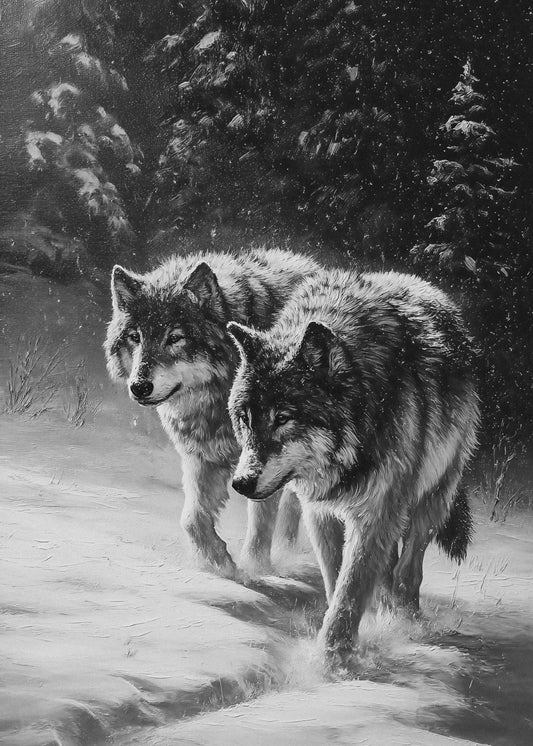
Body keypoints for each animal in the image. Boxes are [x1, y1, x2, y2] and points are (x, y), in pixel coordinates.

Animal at [104, 248, 318, 577]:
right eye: (135, 337)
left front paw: (254, 572)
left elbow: (260, 523)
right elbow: (192, 520)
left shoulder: (265, 463)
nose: (139, 386)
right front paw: (219, 563)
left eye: (175, 338)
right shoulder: (204, 457)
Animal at [227, 268, 479, 665]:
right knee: (390, 570)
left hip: (430, 501)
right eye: (245, 419)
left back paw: (404, 624)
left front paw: (333, 662)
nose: (241, 483)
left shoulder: (375, 515)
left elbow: (351, 588)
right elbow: (337, 581)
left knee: (408, 572)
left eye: (283, 418)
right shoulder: (320, 511)